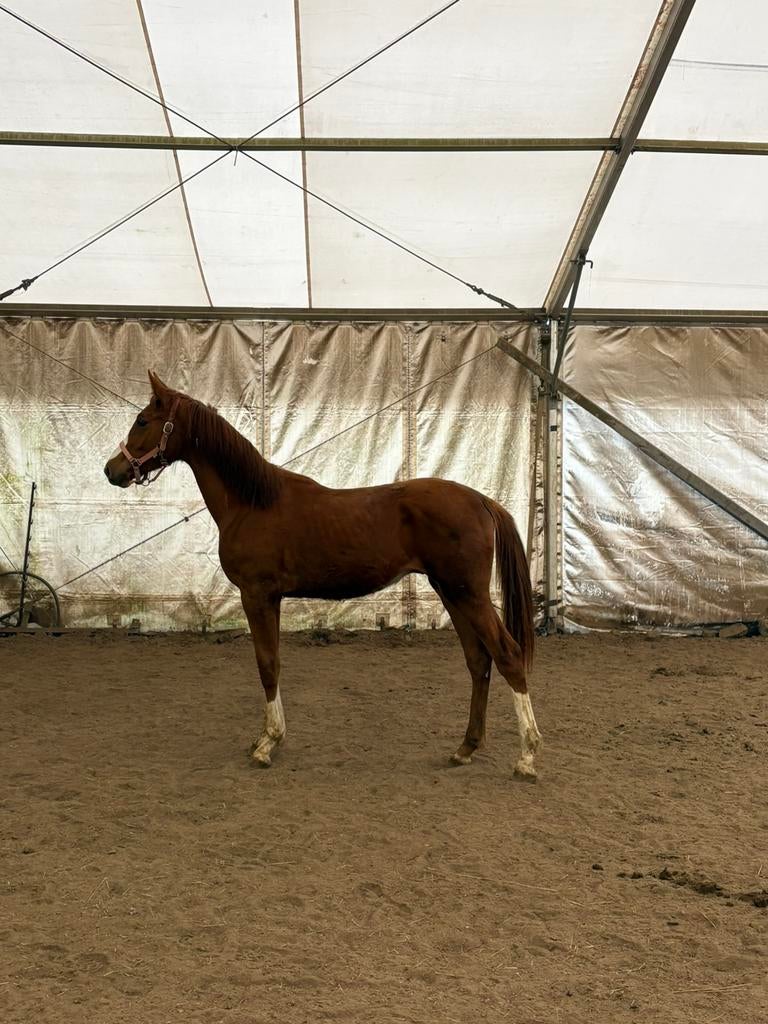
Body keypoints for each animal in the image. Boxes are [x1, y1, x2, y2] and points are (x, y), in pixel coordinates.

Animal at [104, 372, 542, 778]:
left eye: (142, 420)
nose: (112, 469)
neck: (252, 502)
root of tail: (482, 500)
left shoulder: (257, 595)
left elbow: (268, 664)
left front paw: (268, 743)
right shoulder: (269, 598)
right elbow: (272, 662)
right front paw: (266, 738)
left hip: (468, 593)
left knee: (507, 655)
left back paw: (527, 756)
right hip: (451, 592)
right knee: (478, 661)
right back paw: (465, 748)